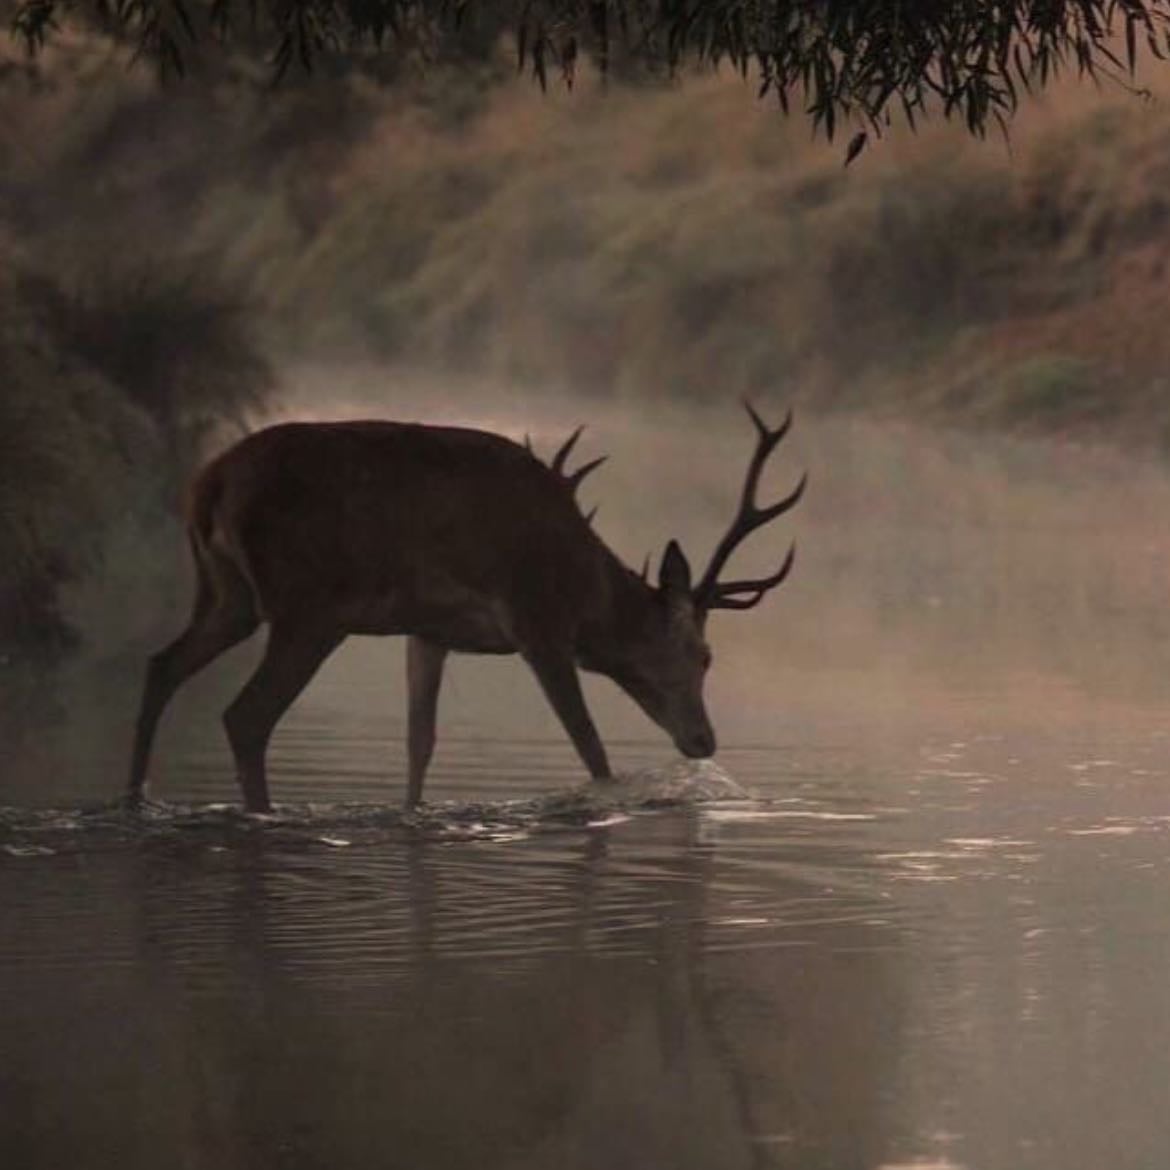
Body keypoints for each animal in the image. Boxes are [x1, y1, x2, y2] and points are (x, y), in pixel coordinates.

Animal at [128, 403, 806, 813]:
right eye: (703, 654)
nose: (704, 739)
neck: (585, 588)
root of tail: (209, 485)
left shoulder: (428, 630)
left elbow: (419, 741)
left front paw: (411, 811)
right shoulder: (537, 622)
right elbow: (590, 745)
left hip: (227, 596)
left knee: (160, 664)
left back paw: (134, 798)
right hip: (309, 608)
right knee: (246, 715)